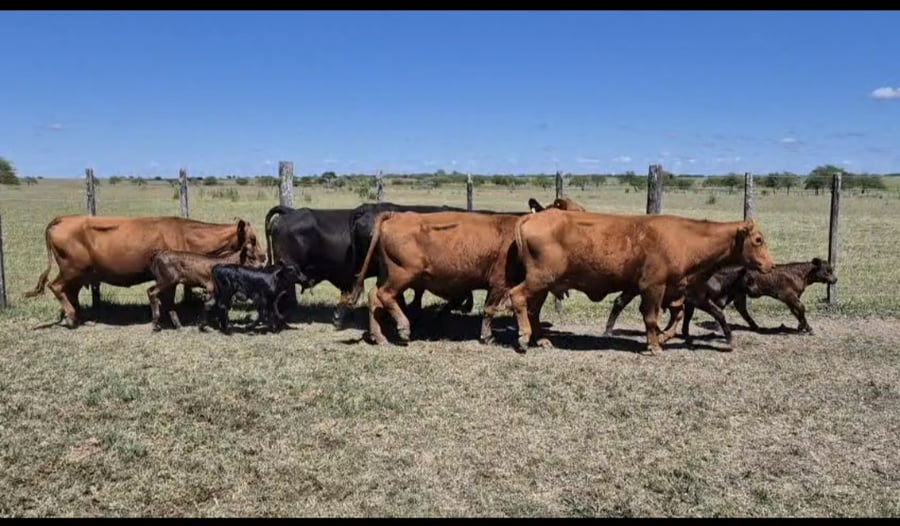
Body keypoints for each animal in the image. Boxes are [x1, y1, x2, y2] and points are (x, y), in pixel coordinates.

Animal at [24, 215, 265, 328]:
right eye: (253, 240)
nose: (264, 257)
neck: (186, 233)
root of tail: (64, 218)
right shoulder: (170, 278)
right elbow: (167, 300)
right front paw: (169, 322)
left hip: (79, 273)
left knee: (69, 292)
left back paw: (79, 316)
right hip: (71, 269)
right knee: (55, 286)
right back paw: (72, 318)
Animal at [339, 210, 527, 346]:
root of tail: (395, 215)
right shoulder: (499, 283)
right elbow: (489, 310)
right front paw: (487, 336)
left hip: (387, 274)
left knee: (374, 297)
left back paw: (379, 337)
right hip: (403, 274)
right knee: (384, 295)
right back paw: (404, 327)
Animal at [504, 209, 775, 355]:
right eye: (758, 240)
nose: (771, 265)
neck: (685, 239)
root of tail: (531, 218)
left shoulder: (671, 290)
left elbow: (674, 316)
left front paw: (660, 338)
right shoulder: (653, 287)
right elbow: (651, 317)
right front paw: (654, 345)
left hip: (544, 285)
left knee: (533, 310)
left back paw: (540, 339)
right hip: (540, 279)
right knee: (517, 297)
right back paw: (524, 338)